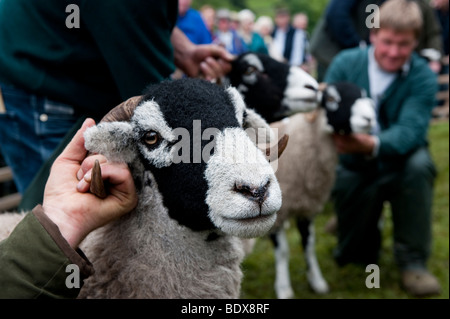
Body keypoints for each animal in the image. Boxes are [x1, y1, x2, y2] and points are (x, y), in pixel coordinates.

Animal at [266, 81, 378, 298]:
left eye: (362, 96)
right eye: (332, 99)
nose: (369, 118)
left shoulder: (307, 208)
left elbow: (309, 246)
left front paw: (317, 281)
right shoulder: (278, 214)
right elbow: (282, 252)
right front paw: (284, 288)